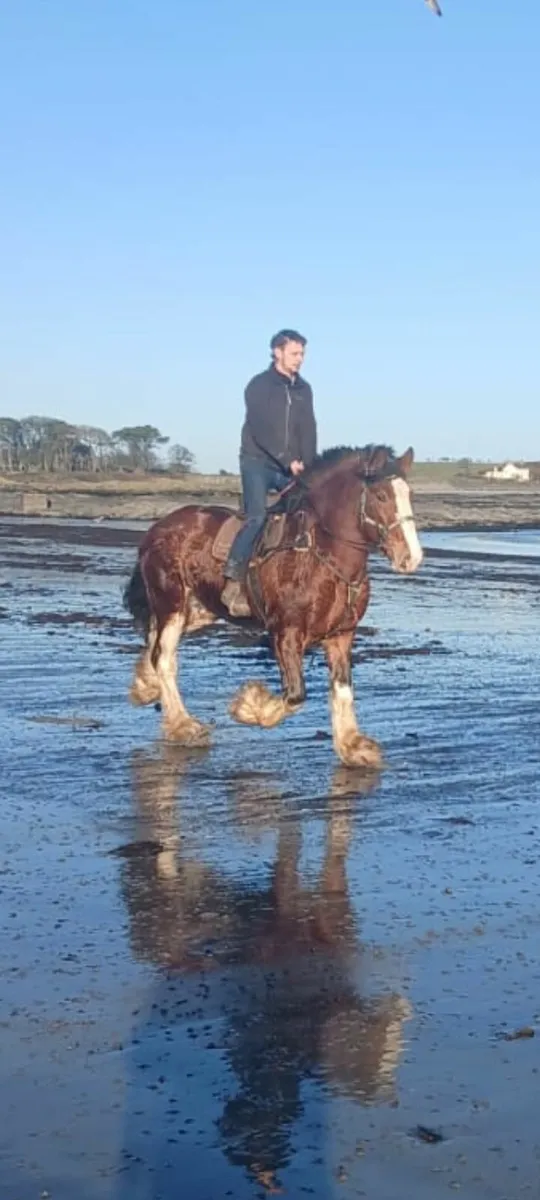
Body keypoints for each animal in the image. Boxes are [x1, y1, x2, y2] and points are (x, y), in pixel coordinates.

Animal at [123, 443, 424, 767]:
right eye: (381, 496)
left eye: (409, 494)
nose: (411, 557)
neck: (322, 557)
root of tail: (158, 528)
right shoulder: (286, 633)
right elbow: (295, 695)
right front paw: (249, 706)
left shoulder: (341, 635)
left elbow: (342, 691)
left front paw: (353, 746)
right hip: (172, 604)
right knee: (164, 658)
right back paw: (184, 725)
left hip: (195, 609)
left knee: (155, 644)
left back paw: (146, 685)